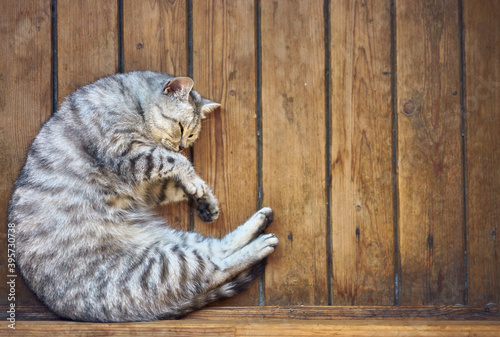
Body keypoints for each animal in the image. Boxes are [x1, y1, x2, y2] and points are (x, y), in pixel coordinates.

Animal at [7, 71, 280, 320]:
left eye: (192, 134)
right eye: (181, 127)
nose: (182, 145)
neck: (130, 102)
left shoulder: (146, 184)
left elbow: (175, 182)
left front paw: (205, 200)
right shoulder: (127, 154)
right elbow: (176, 162)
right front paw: (194, 183)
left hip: (175, 245)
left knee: (219, 249)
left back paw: (261, 222)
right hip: (164, 265)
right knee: (216, 268)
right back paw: (261, 244)